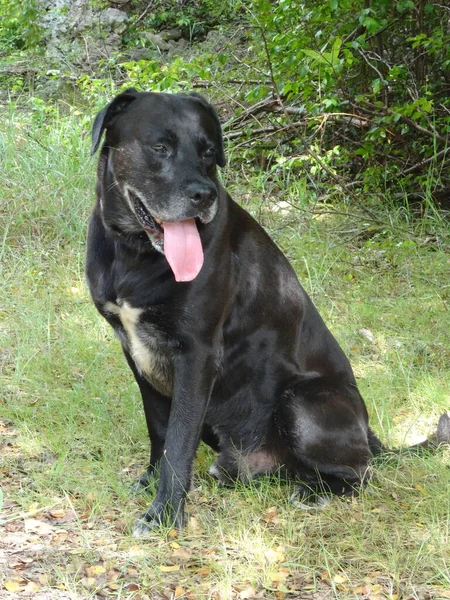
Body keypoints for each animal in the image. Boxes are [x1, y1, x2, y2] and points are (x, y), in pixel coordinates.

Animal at [85, 90, 450, 536]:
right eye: (160, 148)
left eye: (209, 152)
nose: (204, 195)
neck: (133, 253)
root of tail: (371, 435)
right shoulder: (136, 351)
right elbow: (160, 429)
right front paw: (151, 482)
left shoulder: (196, 354)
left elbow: (179, 441)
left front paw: (165, 513)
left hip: (304, 400)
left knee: (360, 473)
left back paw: (316, 491)